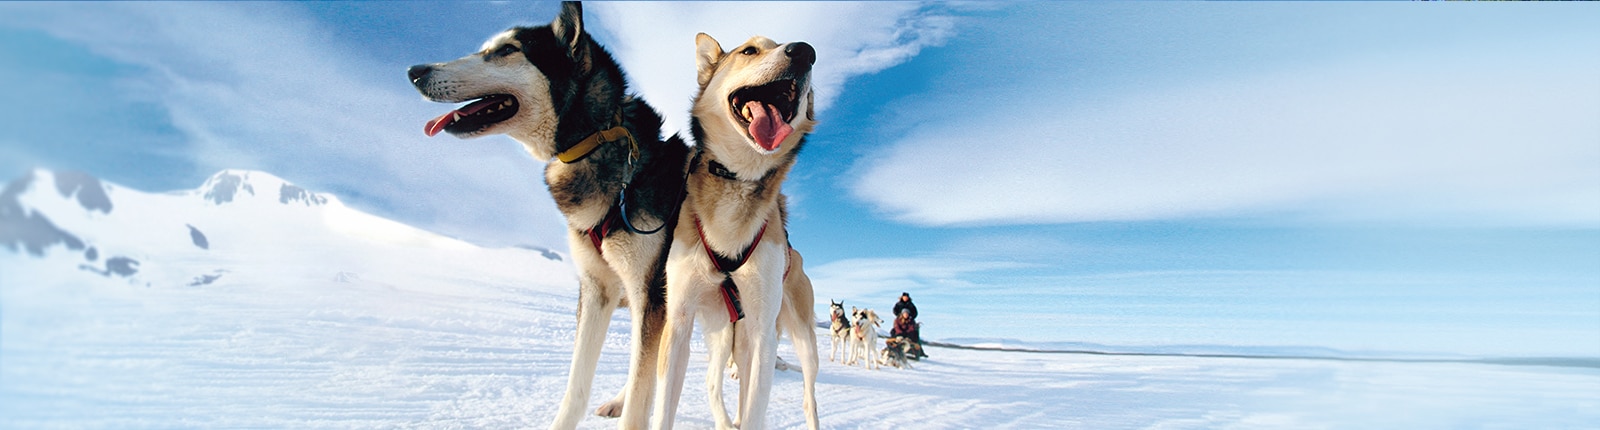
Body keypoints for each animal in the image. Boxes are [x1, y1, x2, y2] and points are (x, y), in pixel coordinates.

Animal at [403, 2, 684, 425]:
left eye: (507, 50)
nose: (415, 71)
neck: (598, 143)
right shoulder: (598, 291)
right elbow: (578, 387)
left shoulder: (649, 292)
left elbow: (641, 394)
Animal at [652, 34, 819, 428]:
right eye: (749, 51)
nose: (804, 52)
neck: (740, 179)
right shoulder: (679, 322)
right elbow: (664, 408)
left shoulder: (760, 335)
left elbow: (755, 409)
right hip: (719, 332)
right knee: (713, 381)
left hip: (800, 340)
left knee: (809, 398)